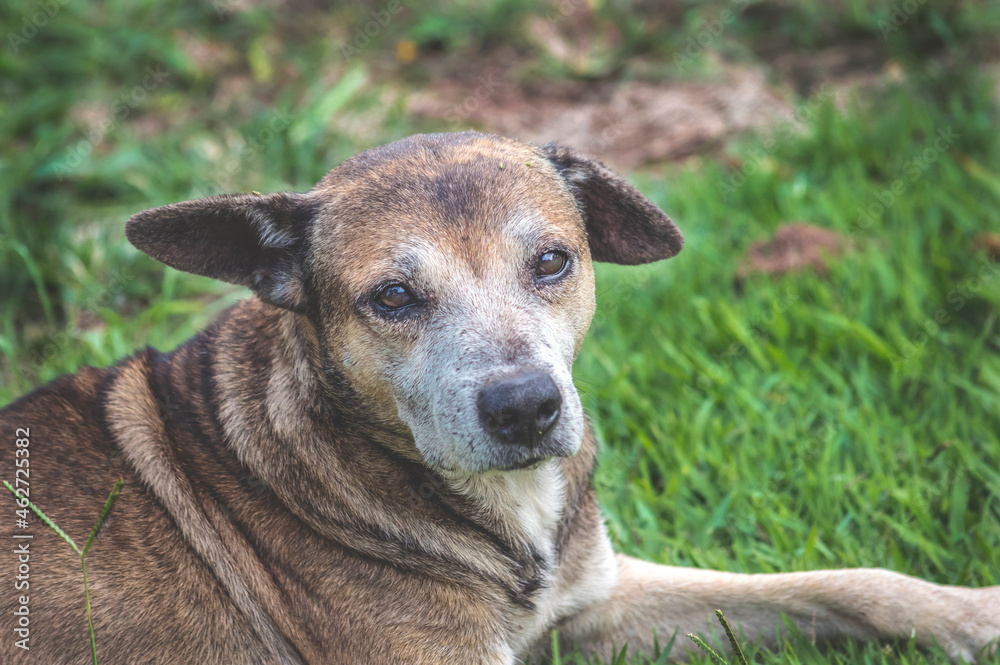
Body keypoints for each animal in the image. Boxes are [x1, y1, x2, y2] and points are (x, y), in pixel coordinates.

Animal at [5, 131, 1000, 664]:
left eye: (552, 260)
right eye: (393, 297)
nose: (525, 407)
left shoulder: (597, 601)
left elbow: (848, 581)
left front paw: (972, 613)